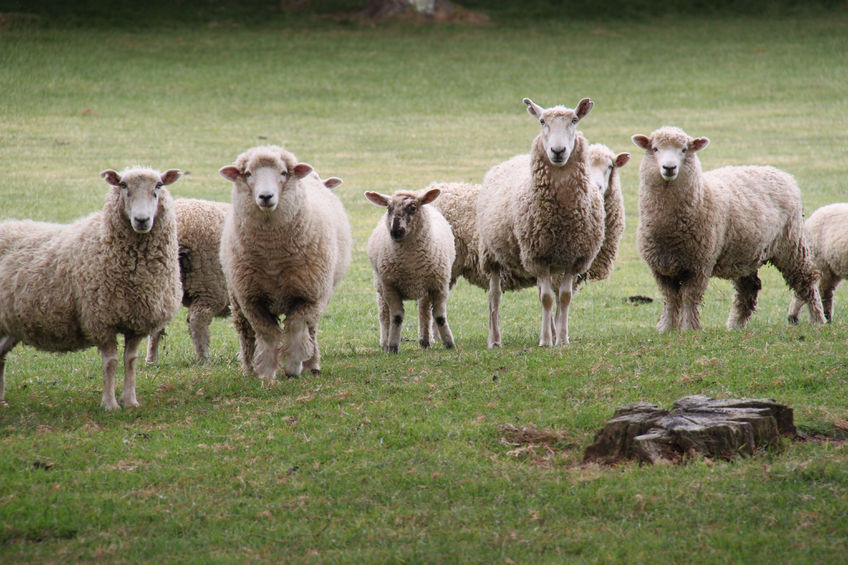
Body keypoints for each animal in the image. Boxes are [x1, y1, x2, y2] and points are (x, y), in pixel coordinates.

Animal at [0, 165, 184, 408]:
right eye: (123, 185)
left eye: (159, 186)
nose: (142, 220)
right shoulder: (100, 319)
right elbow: (111, 363)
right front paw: (110, 404)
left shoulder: (136, 320)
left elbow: (131, 361)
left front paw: (130, 401)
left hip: (10, 323)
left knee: (0, 355)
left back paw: (1, 399)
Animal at [219, 145, 354, 378]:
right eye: (248, 173)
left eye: (283, 173)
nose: (266, 196)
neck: (272, 255)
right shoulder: (251, 300)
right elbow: (267, 333)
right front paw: (266, 371)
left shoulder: (309, 295)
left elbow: (296, 328)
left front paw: (293, 365)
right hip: (236, 298)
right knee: (246, 333)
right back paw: (249, 369)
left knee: (310, 330)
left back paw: (312, 364)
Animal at [366, 187, 458, 350]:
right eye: (389, 208)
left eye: (413, 207)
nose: (395, 231)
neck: (411, 264)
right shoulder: (391, 288)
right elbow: (396, 317)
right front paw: (393, 346)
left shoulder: (440, 286)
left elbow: (440, 317)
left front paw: (449, 344)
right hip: (380, 284)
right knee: (384, 314)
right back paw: (385, 342)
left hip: (426, 287)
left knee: (424, 310)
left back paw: (425, 341)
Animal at [476, 97, 604, 346]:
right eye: (542, 121)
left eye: (574, 120)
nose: (558, 151)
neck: (564, 215)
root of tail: (513, 159)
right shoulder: (538, 256)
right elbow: (546, 298)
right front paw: (545, 341)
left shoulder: (575, 258)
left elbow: (564, 298)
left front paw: (562, 339)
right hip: (491, 255)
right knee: (494, 297)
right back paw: (494, 340)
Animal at [632, 124, 824, 330]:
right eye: (655, 149)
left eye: (684, 150)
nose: (669, 168)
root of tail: (781, 173)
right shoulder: (661, 267)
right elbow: (670, 298)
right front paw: (666, 329)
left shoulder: (700, 264)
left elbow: (689, 297)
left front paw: (689, 328)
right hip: (745, 252)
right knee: (749, 288)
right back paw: (735, 326)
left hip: (791, 243)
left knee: (806, 280)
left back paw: (818, 319)